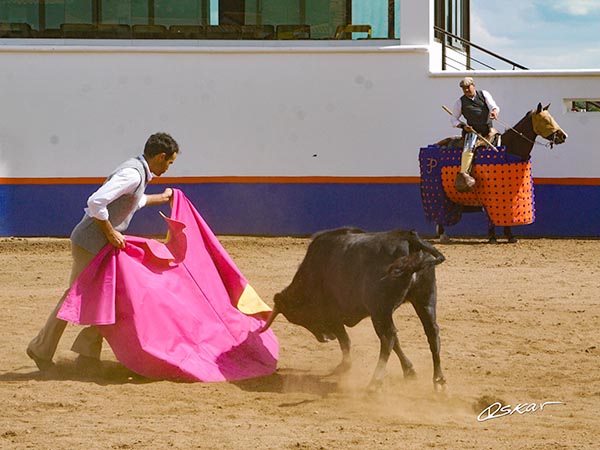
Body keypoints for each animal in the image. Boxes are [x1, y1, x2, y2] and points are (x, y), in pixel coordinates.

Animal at [260, 229, 448, 390]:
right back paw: (439, 380)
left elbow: (346, 341)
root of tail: (409, 237)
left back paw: (374, 384)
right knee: (431, 332)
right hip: (425, 299)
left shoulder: (334, 316)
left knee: (387, 338)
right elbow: (397, 344)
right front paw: (409, 371)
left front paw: (344, 366)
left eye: (302, 317)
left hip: (380, 310)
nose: (325, 338)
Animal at [422, 103, 568, 243]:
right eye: (545, 120)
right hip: (439, 194)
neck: (510, 147)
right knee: (440, 213)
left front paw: (510, 236)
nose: (563, 136)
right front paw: (492, 237)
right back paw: (443, 235)